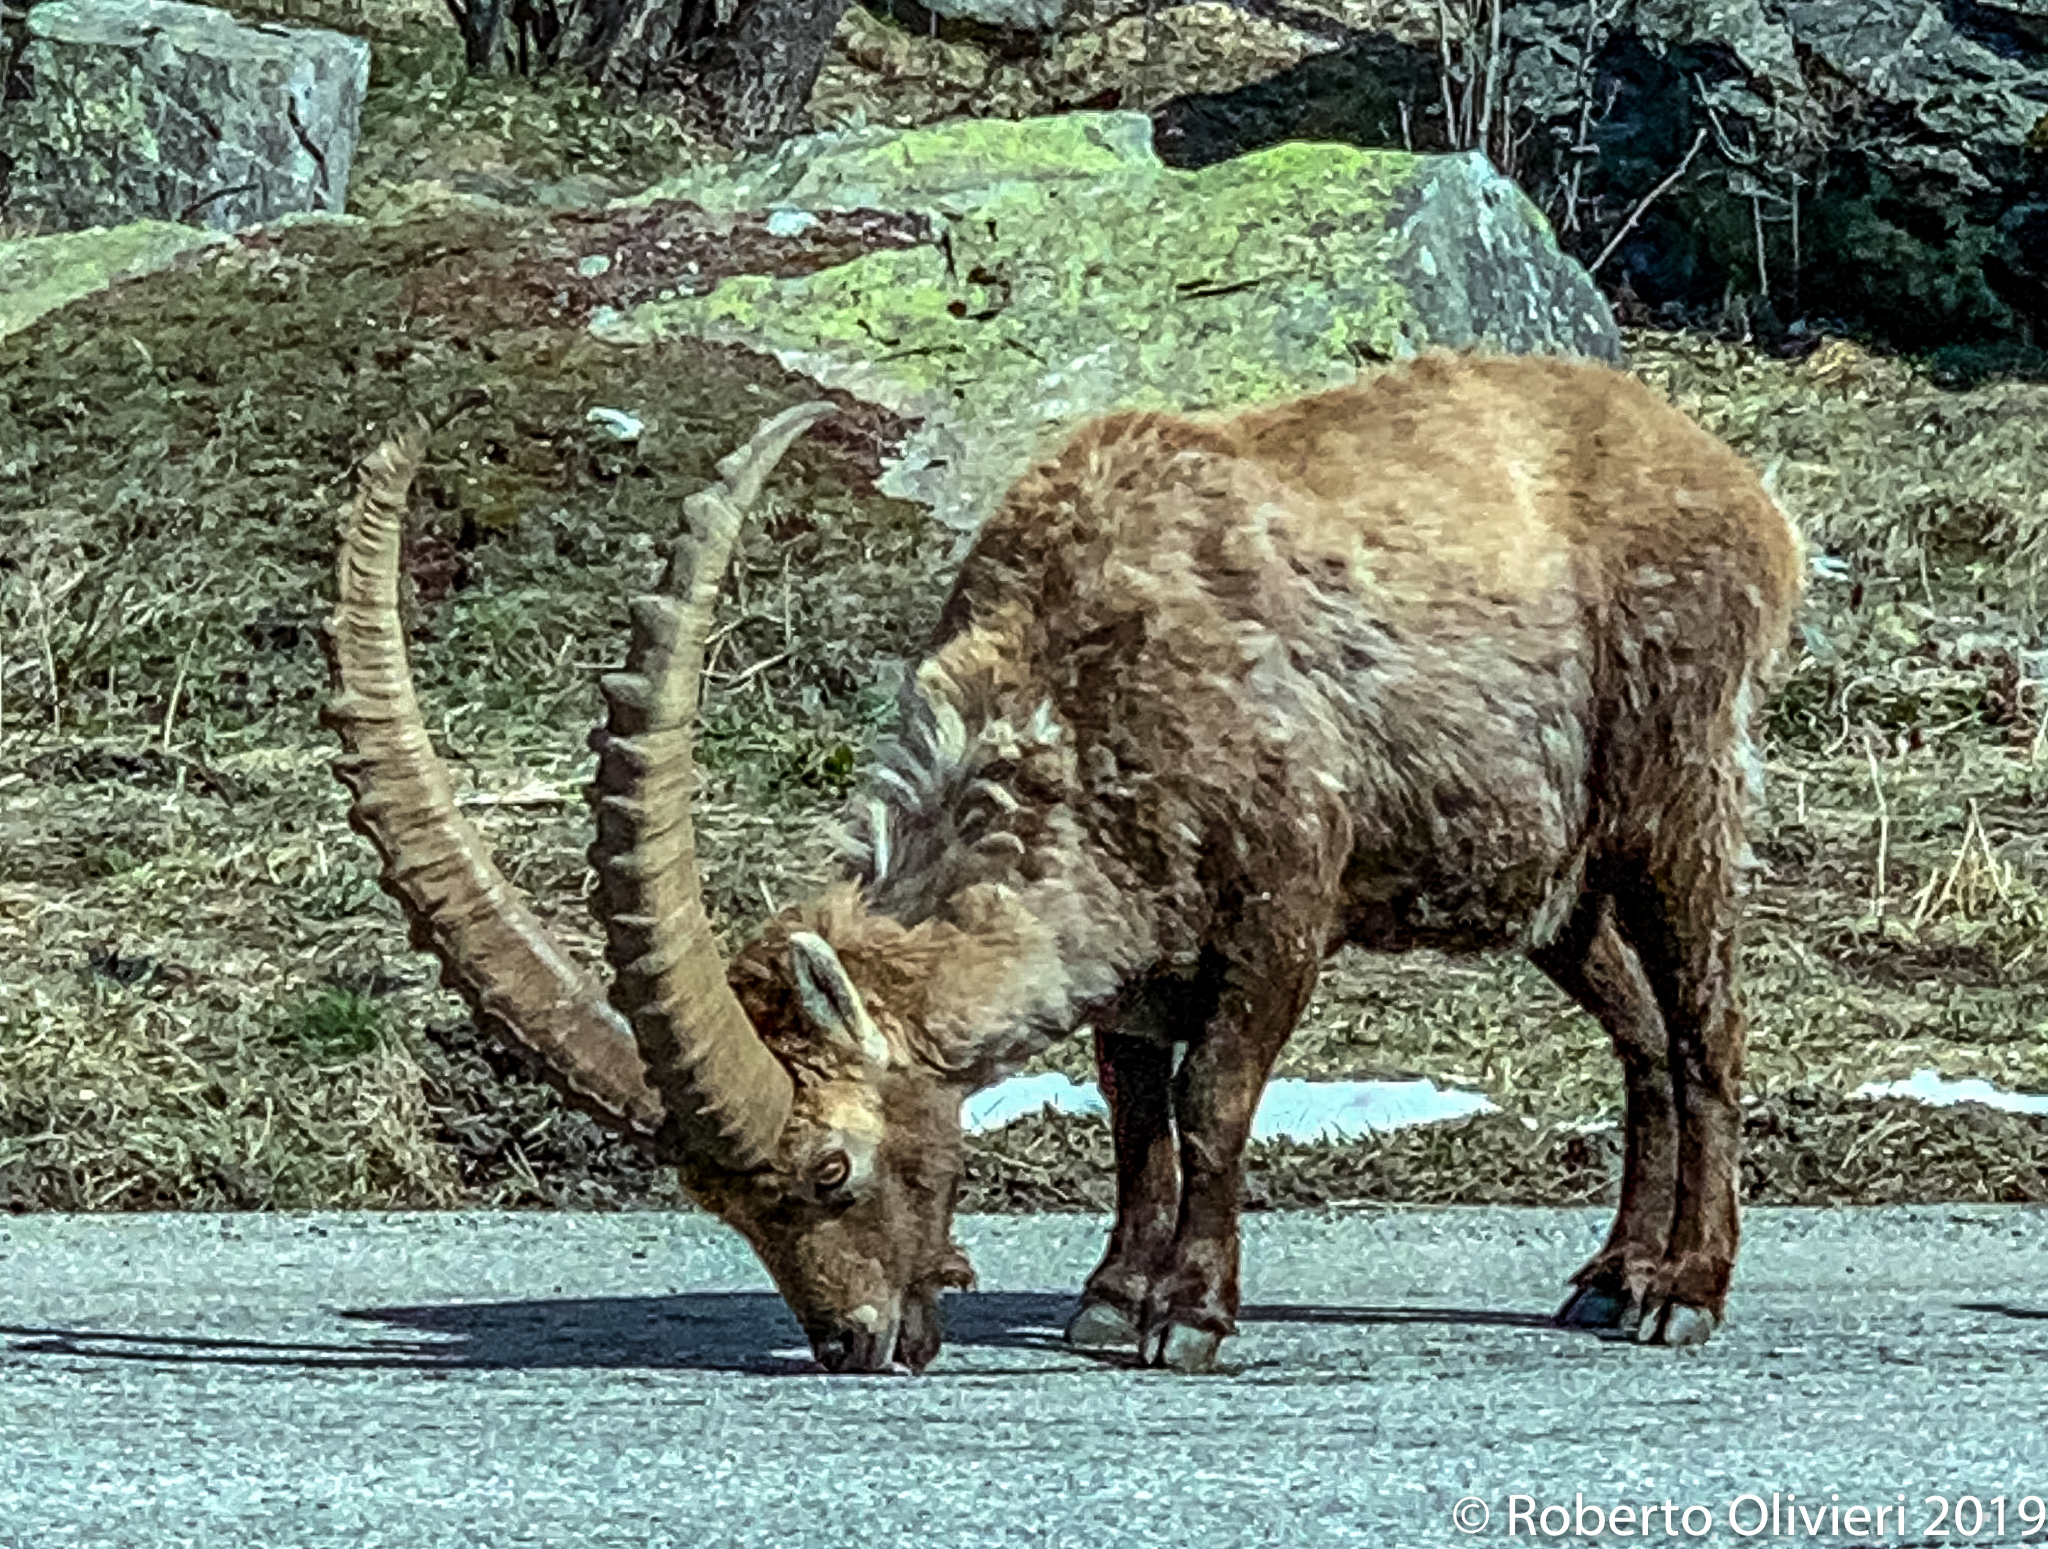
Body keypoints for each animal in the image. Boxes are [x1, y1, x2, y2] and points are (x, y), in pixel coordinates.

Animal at [323, 351, 1801, 1374]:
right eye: (717, 1203)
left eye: (830, 1172)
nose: (852, 1342)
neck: (1082, 683)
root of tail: (1744, 493)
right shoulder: (1138, 942)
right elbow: (1132, 1108)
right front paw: (1108, 1298)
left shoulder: (1283, 896)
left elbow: (1213, 1098)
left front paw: (1189, 1316)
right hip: (1547, 884)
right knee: (1641, 1036)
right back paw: (1609, 1276)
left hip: (1675, 791)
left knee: (1709, 1028)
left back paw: (1685, 1291)